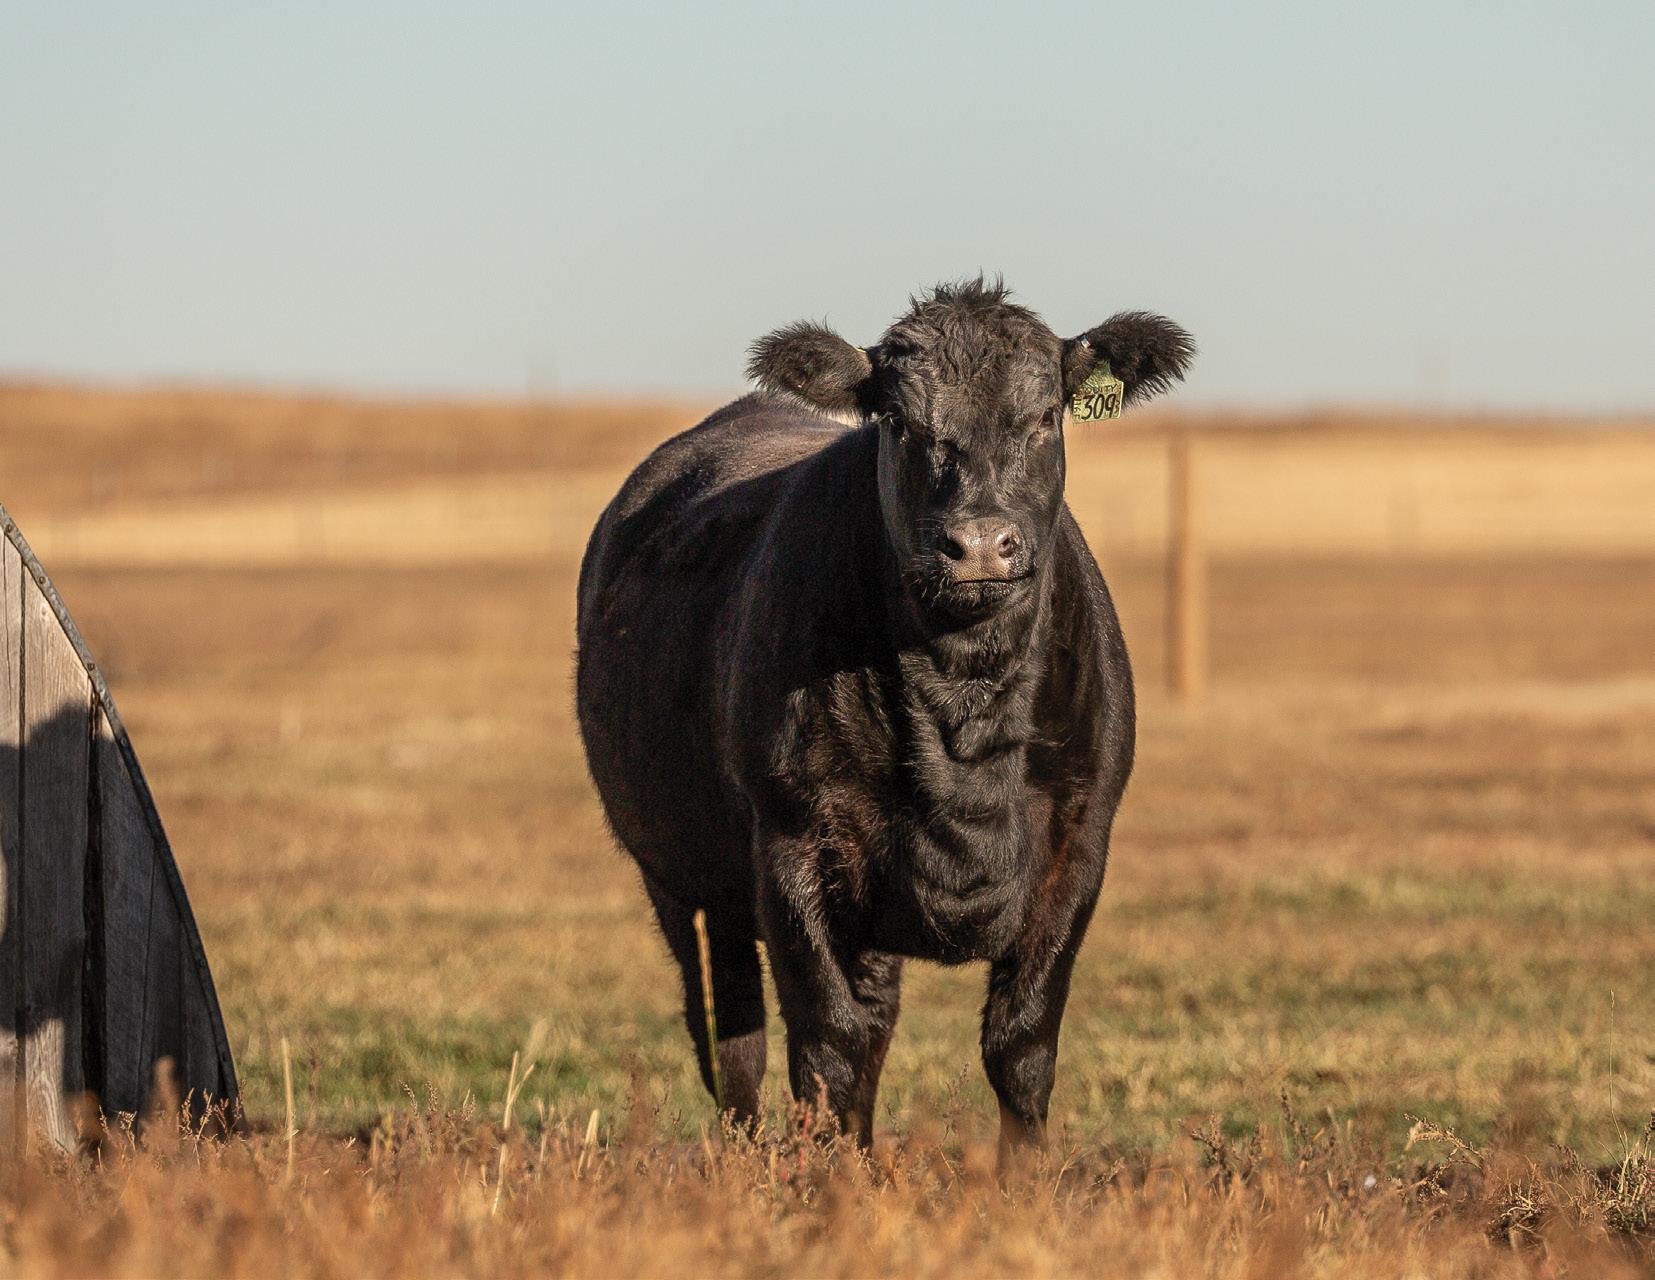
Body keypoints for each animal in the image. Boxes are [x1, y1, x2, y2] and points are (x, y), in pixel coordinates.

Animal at [575, 278, 1192, 1156]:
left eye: (1046, 415)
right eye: (898, 422)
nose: (979, 543)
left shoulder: (1078, 842)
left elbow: (1021, 1044)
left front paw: (1025, 1179)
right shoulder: (792, 845)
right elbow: (830, 1047)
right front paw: (835, 1178)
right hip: (675, 876)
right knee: (732, 1039)